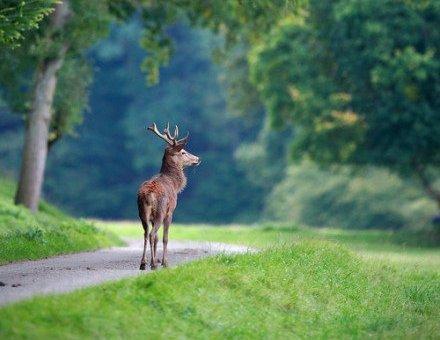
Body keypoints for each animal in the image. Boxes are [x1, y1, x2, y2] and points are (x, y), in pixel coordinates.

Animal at [138, 121, 201, 268]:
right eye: (183, 152)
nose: (197, 158)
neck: (175, 184)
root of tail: (147, 194)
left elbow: (157, 239)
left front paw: (155, 260)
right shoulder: (170, 211)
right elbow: (165, 238)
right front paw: (164, 262)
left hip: (142, 212)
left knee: (146, 233)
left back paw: (143, 263)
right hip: (160, 211)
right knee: (152, 234)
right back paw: (153, 264)